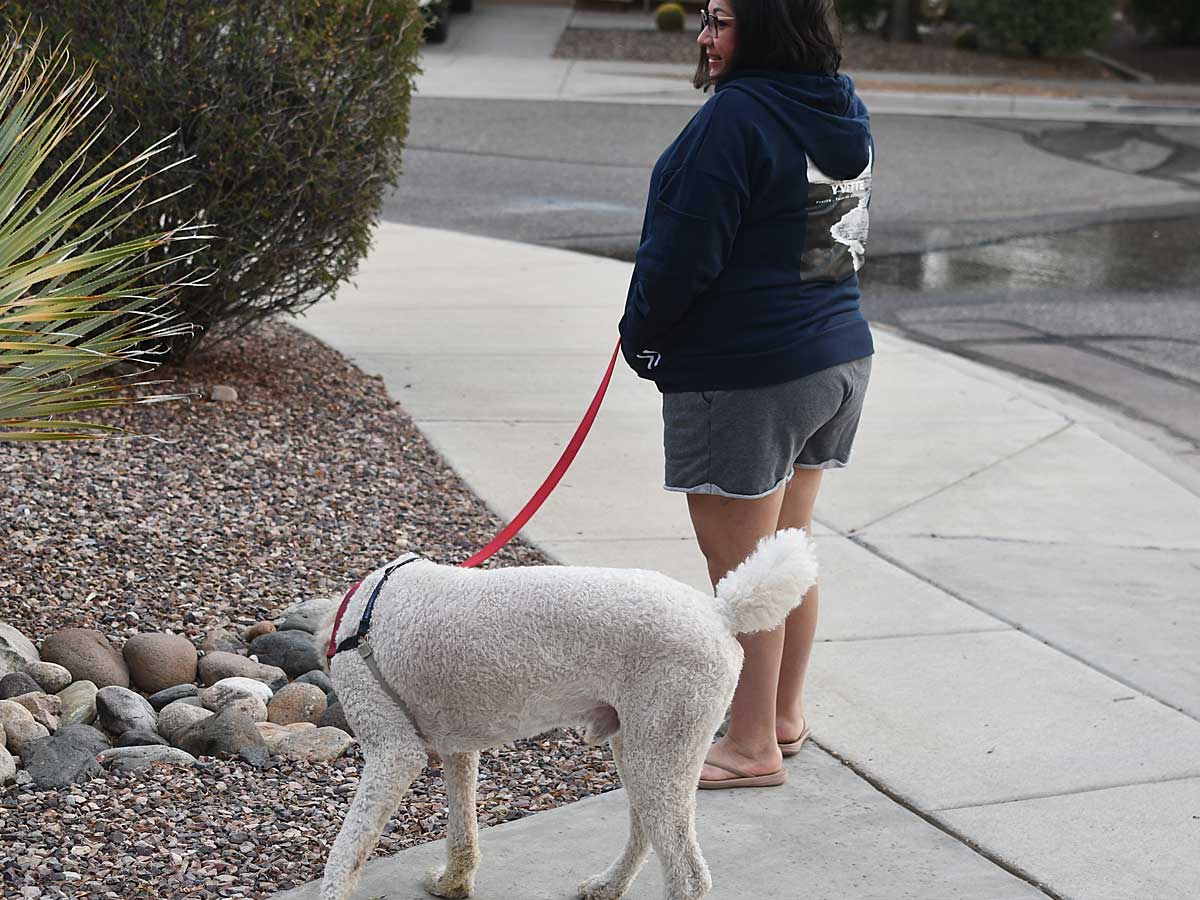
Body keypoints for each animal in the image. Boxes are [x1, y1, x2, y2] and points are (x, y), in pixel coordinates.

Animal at [312, 528, 816, 900]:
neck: (357, 616)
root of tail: (720, 612)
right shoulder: (459, 749)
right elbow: (462, 830)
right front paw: (453, 882)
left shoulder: (393, 754)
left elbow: (349, 845)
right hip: (644, 747)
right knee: (646, 830)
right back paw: (607, 885)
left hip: (663, 744)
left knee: (688, 876)